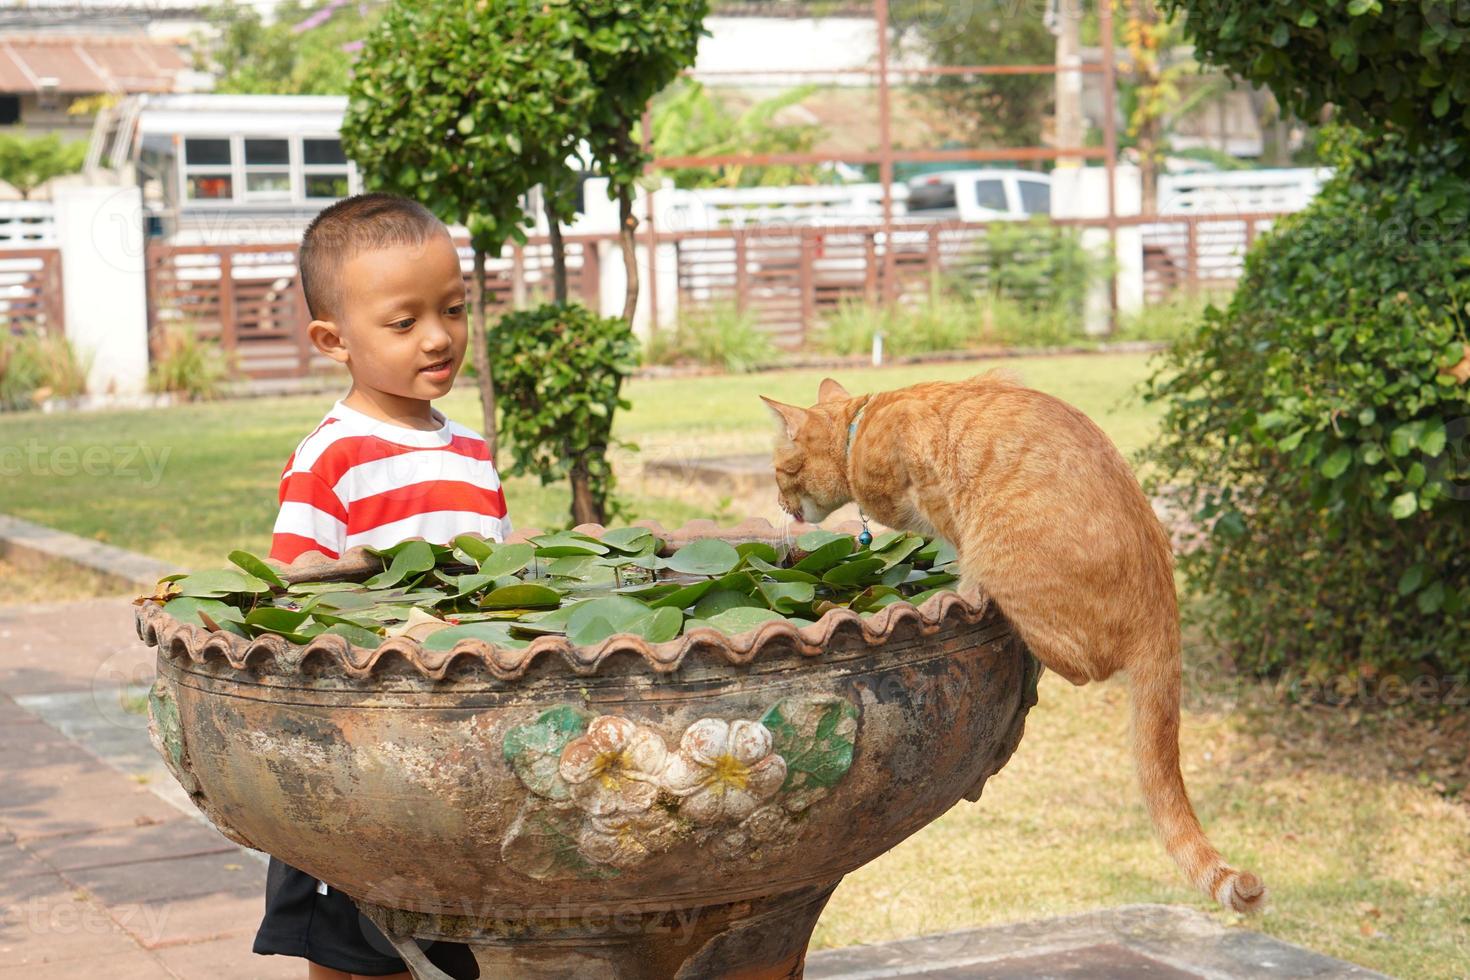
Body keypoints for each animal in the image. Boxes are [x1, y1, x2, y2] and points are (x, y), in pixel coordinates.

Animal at [758, 373, 1264, 910]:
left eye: (779, 472)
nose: (782, 505)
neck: (863, 425)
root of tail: (1163, 598)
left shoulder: (937, 495)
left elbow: (959, 562)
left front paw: (960, 594)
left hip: (1007, 560)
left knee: (1081, 666)